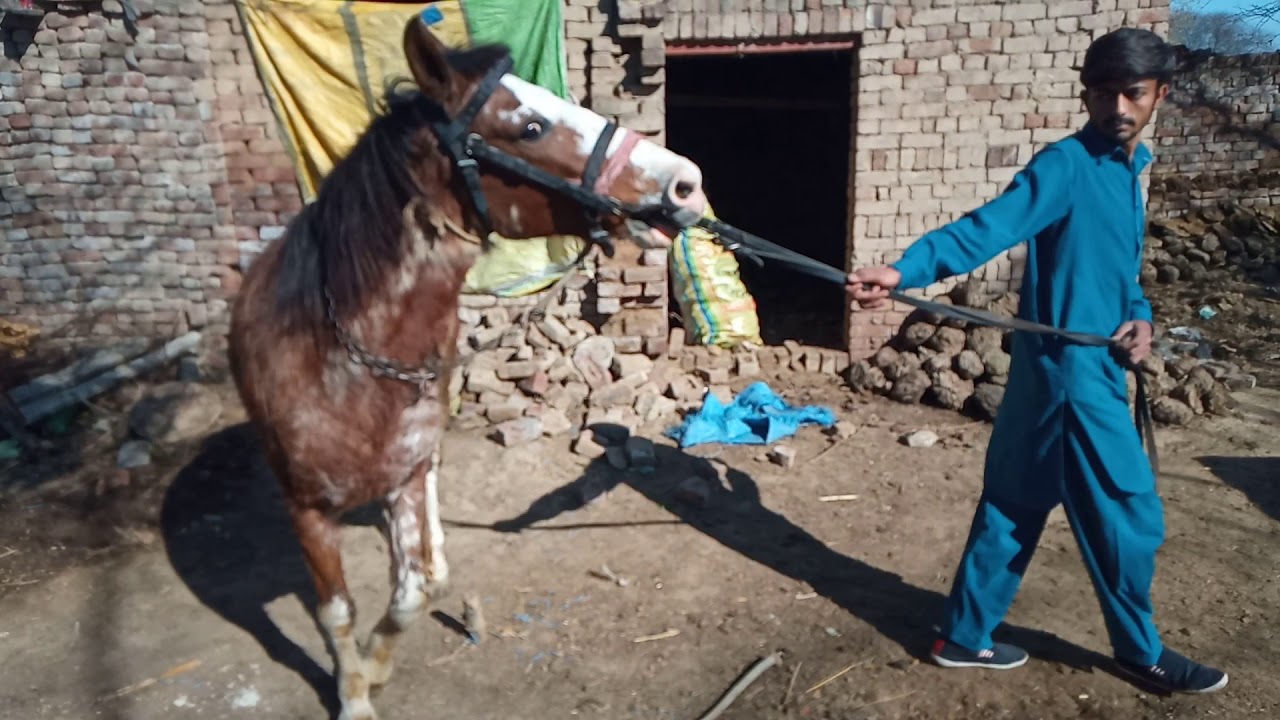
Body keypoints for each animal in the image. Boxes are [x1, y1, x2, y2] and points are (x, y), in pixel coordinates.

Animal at [226, 16, 707, 720]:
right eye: (529, 126)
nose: (685, 181)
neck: (343, 360)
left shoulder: (403, 476)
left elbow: (410, 593)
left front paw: (376, 669)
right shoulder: (306, 510)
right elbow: (336, 612)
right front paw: (355, 694)